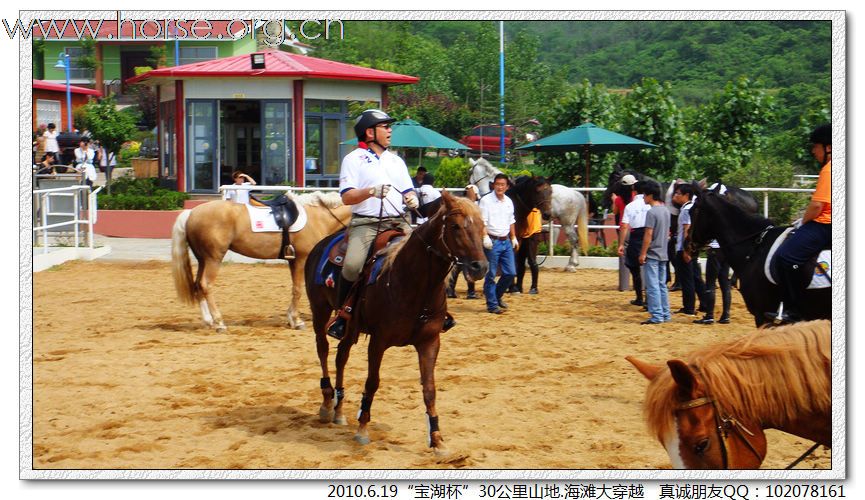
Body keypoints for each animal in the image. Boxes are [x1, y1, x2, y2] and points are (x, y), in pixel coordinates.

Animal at [171, 191, 352, 332]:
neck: (319, 216)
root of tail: (191, 212)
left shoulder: (293, 260)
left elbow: (295, 288)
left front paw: (291, 318)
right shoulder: (301, 259)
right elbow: (298, 289)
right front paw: (296, 320)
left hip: (203, 259)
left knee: (197, 285)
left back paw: (208, 321)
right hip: (213, 259)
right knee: (205, 285)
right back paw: (219, 322)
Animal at [308, 189, 490, 456]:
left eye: (482, 225)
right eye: (455, 226)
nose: (480, 267)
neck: (412, 282)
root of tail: (322, 244)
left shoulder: (429, 342)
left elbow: (429, 390)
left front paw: (438, 440)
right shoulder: (378, 341)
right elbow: (372, 382)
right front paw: (362, 429)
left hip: (350, 328)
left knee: (341, 357)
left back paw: (339, 410)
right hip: (320, 311)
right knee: (323, 349)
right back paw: (327, 403)